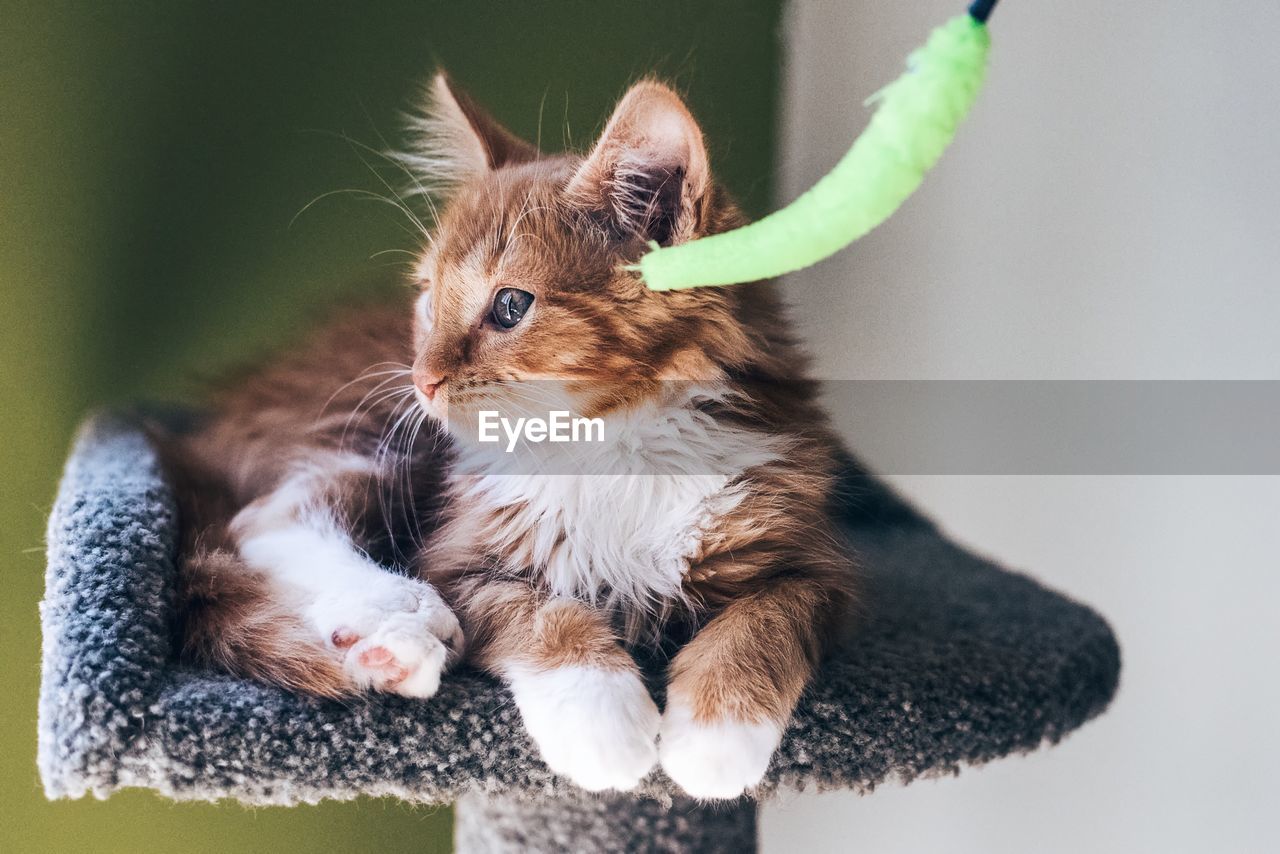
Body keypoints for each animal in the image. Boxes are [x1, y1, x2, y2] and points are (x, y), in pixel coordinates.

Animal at [165, 75, 855, 804]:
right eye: (429, 300)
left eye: (509, 307)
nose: (422, 379)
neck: (613, 444)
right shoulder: (462, 549)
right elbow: (540, 613)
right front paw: (602, 719)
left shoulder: (805, 544)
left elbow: (769, 618)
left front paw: (718, 736)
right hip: (368, 432)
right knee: (269, 517)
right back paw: (395, 626)